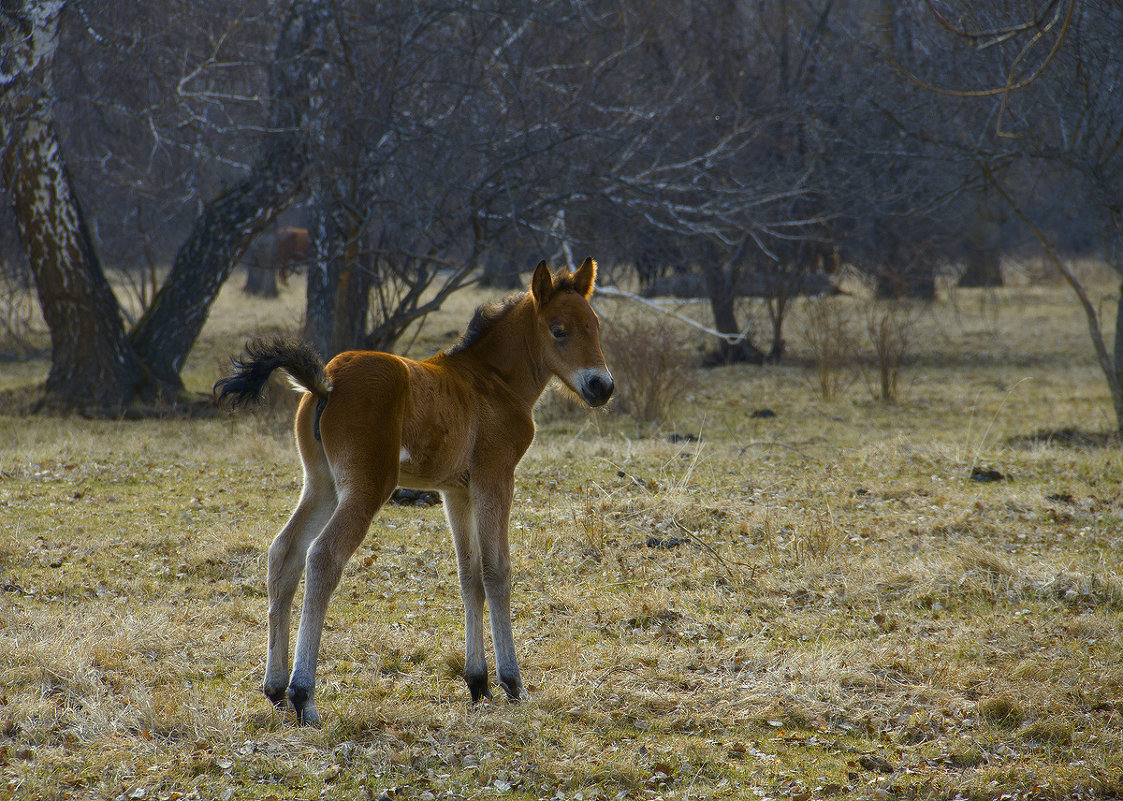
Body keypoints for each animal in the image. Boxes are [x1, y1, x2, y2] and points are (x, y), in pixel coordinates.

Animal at [213, 257, 610, 723]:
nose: (601, 386)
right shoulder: (496, 477)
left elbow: (469, 573)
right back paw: (303, 695)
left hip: (321, 484)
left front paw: (478, 682)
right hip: (367, 487)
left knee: (284, 552)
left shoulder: (457, 491)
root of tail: (326, 379)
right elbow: (497, 571)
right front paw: (512, 683)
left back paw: (275, 687)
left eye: (595, 325)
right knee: (323, 557)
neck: (493, 383)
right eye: (558, 329)